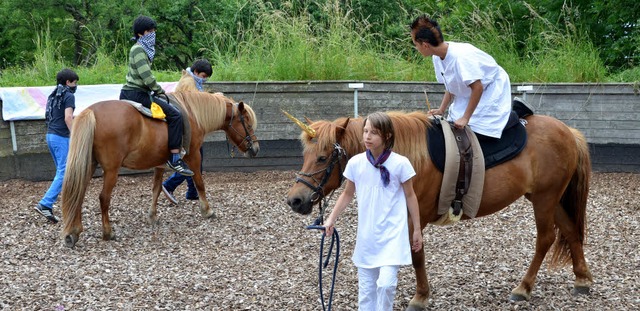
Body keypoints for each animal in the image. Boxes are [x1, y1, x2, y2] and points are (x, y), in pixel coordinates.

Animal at [60, 90, 260, 249]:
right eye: (247, 123)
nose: (256, 148)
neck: (191, 114)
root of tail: (91, 111)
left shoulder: (160, 164)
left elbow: (156, 189)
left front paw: (152, 216)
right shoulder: (194, 156)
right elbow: (199, 182)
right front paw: (207, 210)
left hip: (89, 165)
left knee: (78, 193)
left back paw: (74, 232)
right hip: (111, 170)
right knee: (103, 198)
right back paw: (107, 232)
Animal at [284, 111, 592, 310]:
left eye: (323, 157)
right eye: (305, 155)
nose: (295, 200)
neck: (407, 154)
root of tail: (569, 132)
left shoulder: (415, 215)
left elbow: (416, 255)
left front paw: (420, 297)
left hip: (544, 199)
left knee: (546, 239)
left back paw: (524, 287)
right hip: (551, 198)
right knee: (570, 231)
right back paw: (581, 279)